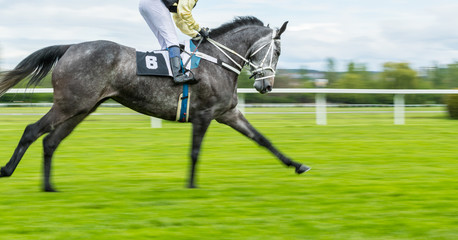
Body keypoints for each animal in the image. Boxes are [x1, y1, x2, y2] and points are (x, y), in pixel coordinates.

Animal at [0, 15, 310, 192]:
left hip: (82, 108)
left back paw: (49, 186)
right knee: (32, 130)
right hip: (69, 104)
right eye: (278, 51)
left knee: (50, 141)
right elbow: (195, 151)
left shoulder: (228, 113)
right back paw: (7, 170)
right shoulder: (204, 114)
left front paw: (297, 165)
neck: (217, 62)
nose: (266, 86)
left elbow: (263, 139)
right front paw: (191, 185)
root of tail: (71, 47)